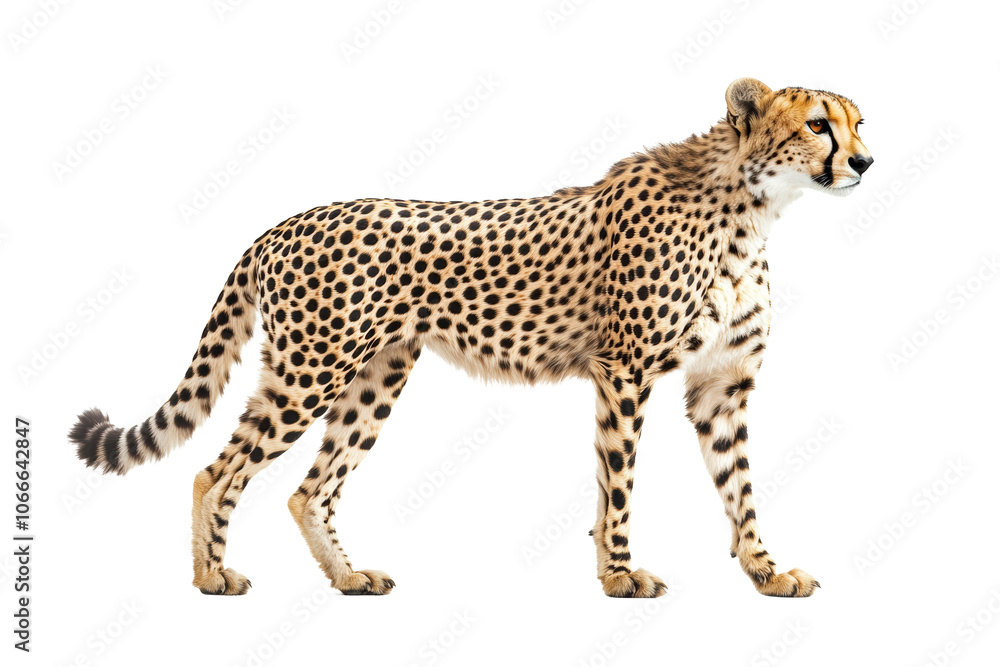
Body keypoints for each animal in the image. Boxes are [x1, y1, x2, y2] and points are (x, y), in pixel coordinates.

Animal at [70, 78, 872, 598]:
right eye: (817, 125)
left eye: (860, 123)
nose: (864, 162)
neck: (753, 208)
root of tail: (281, 224)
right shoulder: (625, 369)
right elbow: (619, 482)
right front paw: (618, 572)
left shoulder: (721, 385)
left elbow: (740, 485)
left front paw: (766, 570)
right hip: (310, 373)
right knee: (216, 470)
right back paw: (209, 574)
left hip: (376, 377)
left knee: (309, 490)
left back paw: (347, 576)